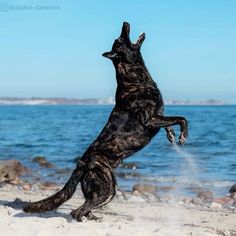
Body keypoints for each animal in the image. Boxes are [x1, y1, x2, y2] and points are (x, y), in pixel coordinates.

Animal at [23, 21, 188, 221]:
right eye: (120, 39)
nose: (125, 23)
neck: (134, 76)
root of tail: (81, 164)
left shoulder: (159, 116)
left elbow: (170, 122)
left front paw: (172, 136)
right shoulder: (150, 120)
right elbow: (181, 118)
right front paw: (183, 136)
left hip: (104, 188)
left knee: (85, 206)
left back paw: (93, 218)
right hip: (107, 186)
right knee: (77, 210)